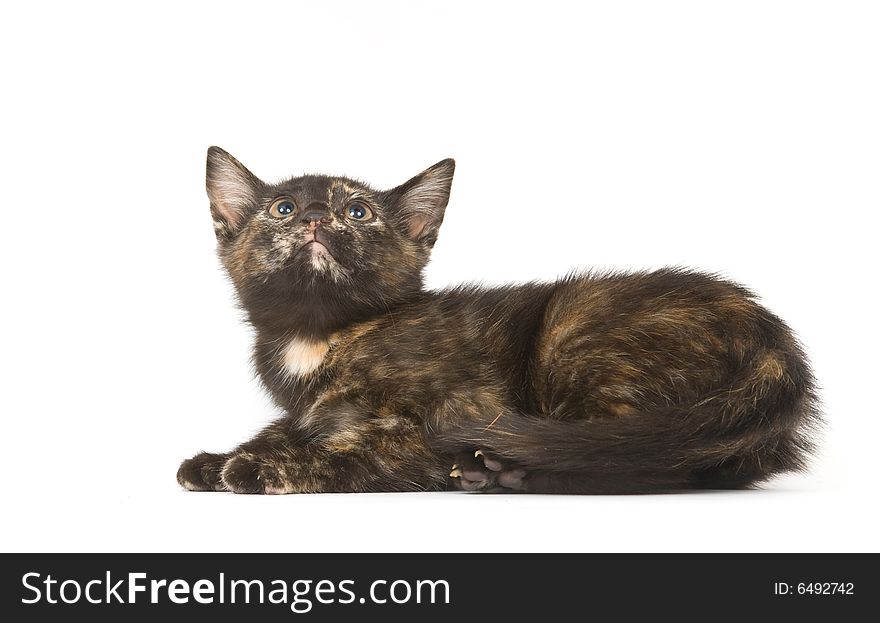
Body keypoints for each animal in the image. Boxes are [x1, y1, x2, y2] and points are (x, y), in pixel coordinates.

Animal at [177, 149, 820, 494]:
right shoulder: (306, 407)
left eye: (356, 212)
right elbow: (291, 425)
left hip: (572, 329)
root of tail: (771, 333)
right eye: (282, 209)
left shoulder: (452, 415)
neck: (318, 334)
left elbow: (355, 449)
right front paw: (216, 460)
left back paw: (502, 472)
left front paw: (258, 467)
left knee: (639, 455)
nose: (313, 215)